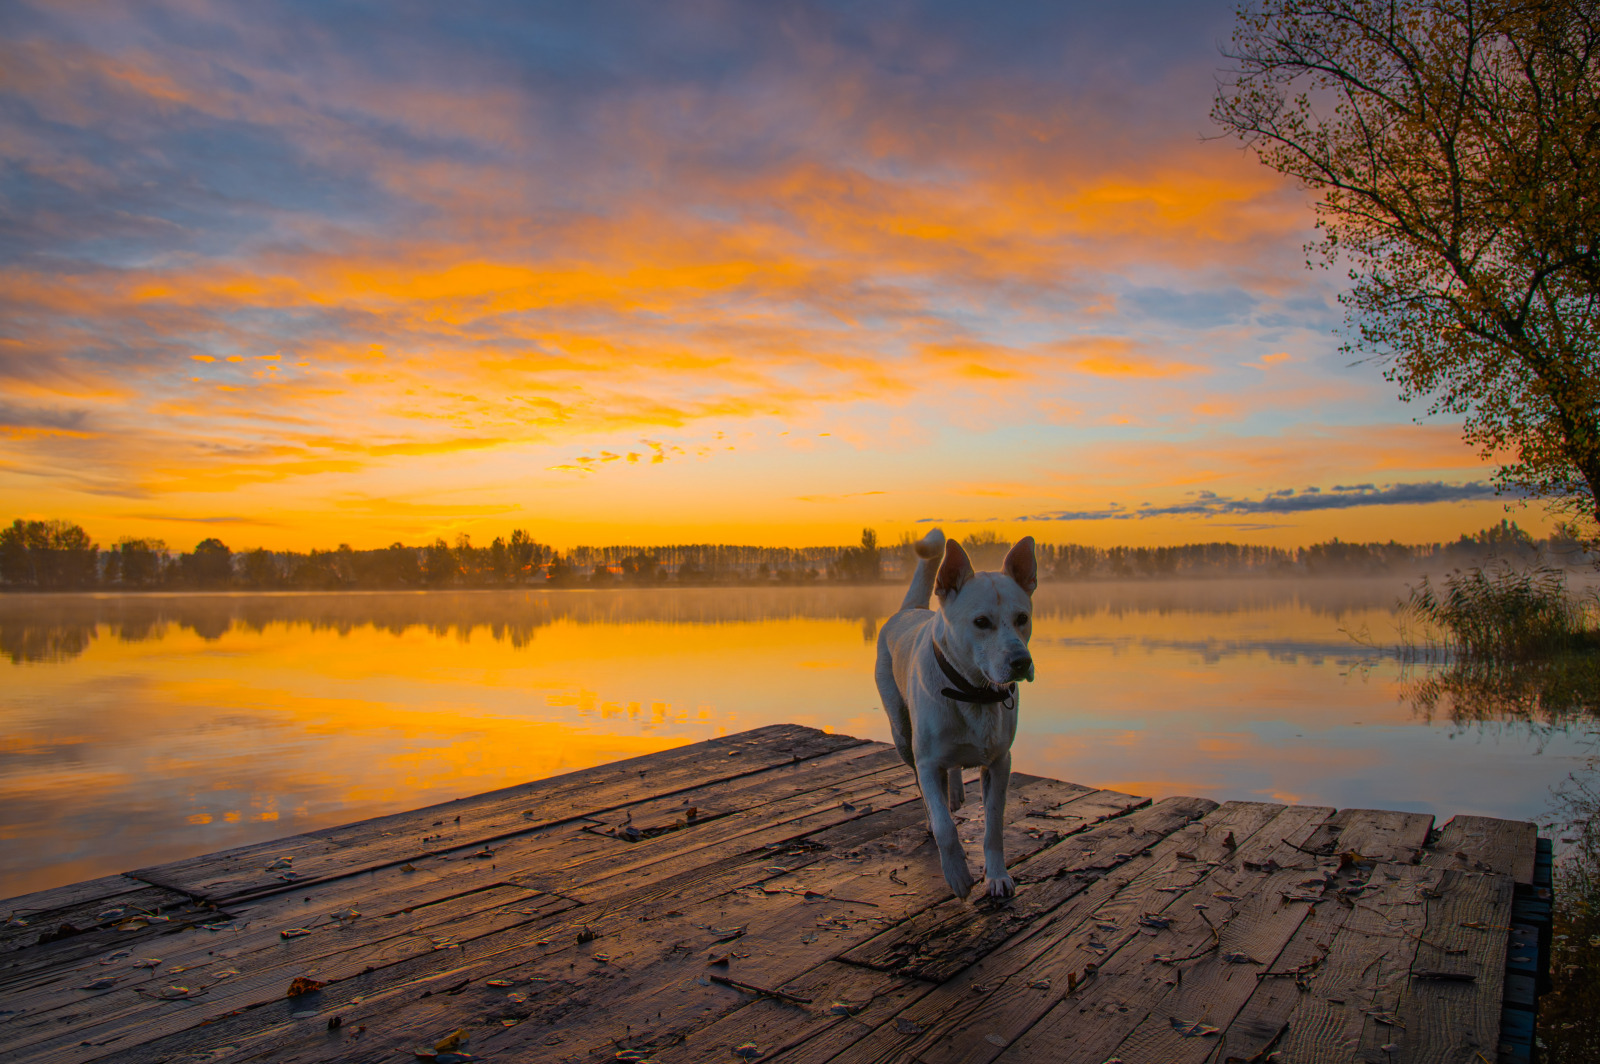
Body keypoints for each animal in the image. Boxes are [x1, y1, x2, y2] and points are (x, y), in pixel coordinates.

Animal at [876, 524, 1036, 896]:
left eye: (1022, 618)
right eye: (981, 621)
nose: (1021, 662)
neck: (973, 693)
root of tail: (911, 609)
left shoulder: (999, 762)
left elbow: (994, 826)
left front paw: (997, 877)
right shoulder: (926, 761)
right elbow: (945, 826)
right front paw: (959, 875)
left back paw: (957, 791)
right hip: (902, 734)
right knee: (926, 789)